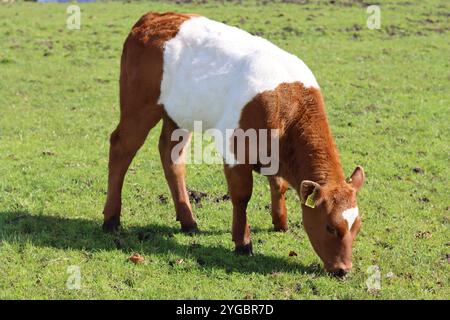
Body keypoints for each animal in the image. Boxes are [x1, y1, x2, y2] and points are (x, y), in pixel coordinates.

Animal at [103, 12, 366, 276]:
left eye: (356, 227)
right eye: (330, 227)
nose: (343, 270)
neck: (288, 104)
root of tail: (154, 17)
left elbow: (278, 184)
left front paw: (280, 222)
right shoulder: (236, 150)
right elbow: (242, 195)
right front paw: (243, 243)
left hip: (179, 114)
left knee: (171, 156)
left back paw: (188, 221)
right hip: (139, 105)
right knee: (121, 147)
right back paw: (111, 219)